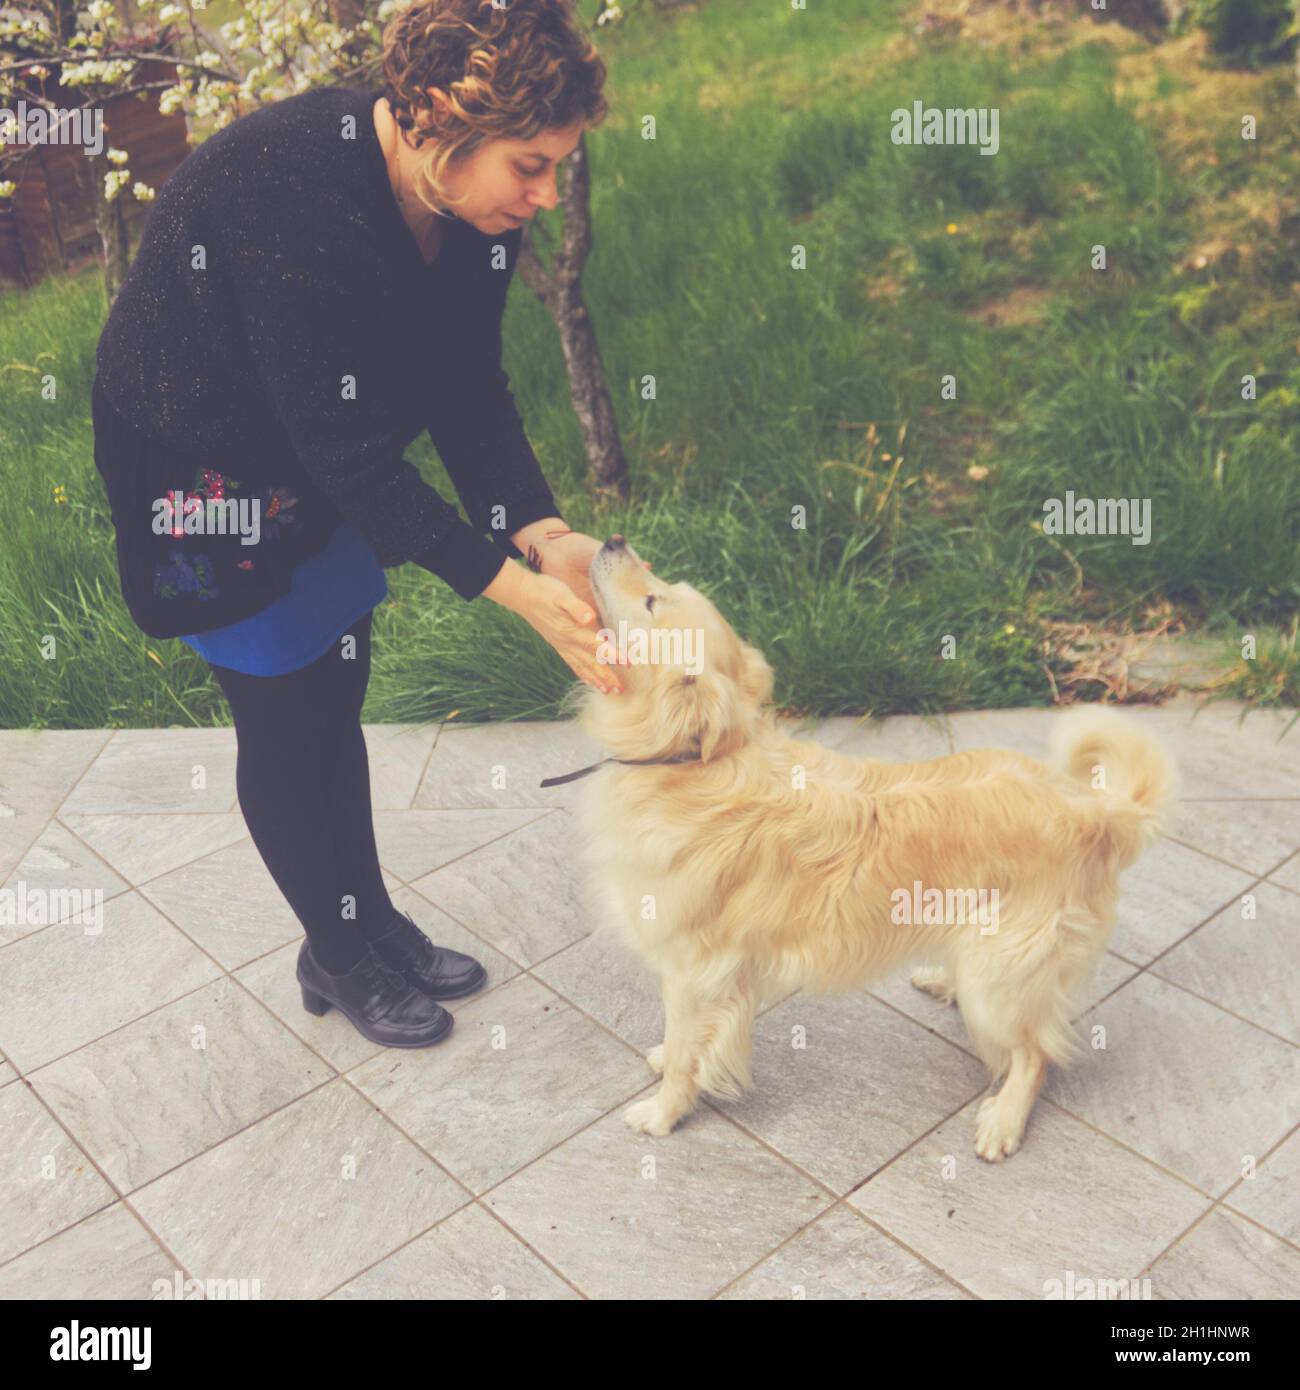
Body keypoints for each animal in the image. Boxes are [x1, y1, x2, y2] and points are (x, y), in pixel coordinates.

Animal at [570, 530, 1179, 1162]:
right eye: (659, 585)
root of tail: (1095, 809)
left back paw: (1005, 1120)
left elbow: (687, 1050)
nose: (613, 539)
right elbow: (688, 1044)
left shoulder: (694, 971)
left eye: (653, 600)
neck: (693, 765)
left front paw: (664, 1112)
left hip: (1001, 977)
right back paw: (943, 980)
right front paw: (669, 1062)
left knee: (1035, 1053)